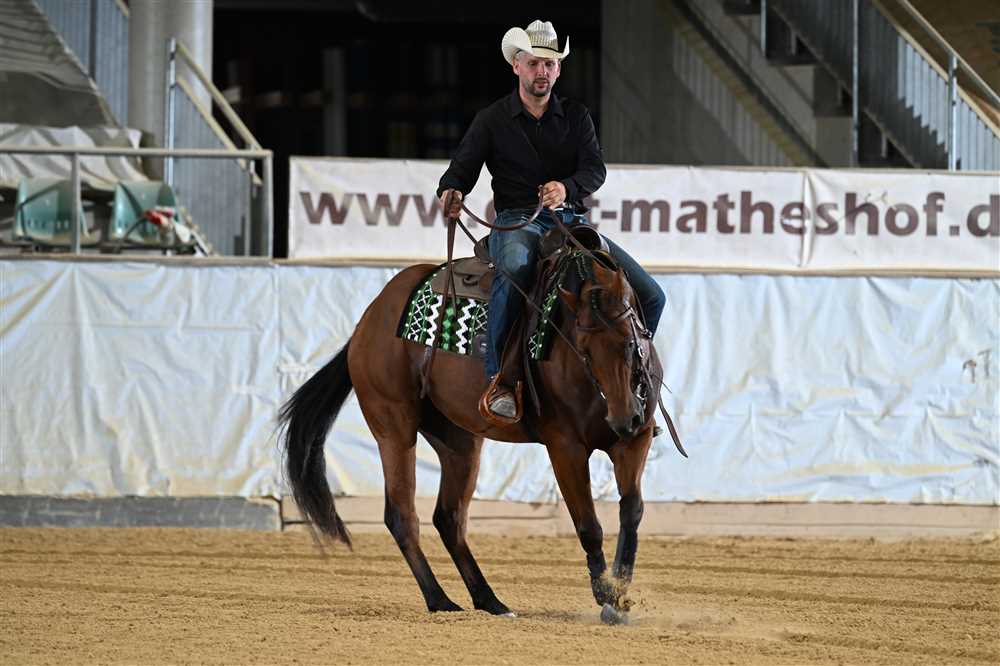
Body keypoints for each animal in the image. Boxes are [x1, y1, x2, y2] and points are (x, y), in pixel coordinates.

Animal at [278, 235, 675, 623]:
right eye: (583, 350)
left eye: (630, 343)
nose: (623, 419)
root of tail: (367, 321)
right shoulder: (566, 447)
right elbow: (588, 524)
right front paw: (606, 594)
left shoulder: (634, 441)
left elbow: (632, 511)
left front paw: (620, 594)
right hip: (393, 426)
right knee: (402, 515)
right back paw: (440, 599)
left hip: (459, 440)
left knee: (449, 518)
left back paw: (490, 600)